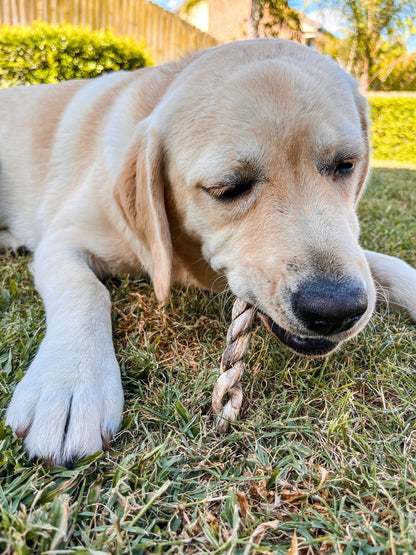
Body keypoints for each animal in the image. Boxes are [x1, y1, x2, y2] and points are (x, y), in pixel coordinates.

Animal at [0, 38, 416, 464]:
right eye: (227, 188)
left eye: (346, 165)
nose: (335, 309)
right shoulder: (63, 240)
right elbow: (86, 291)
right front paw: (69, 382)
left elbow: (384, 264)